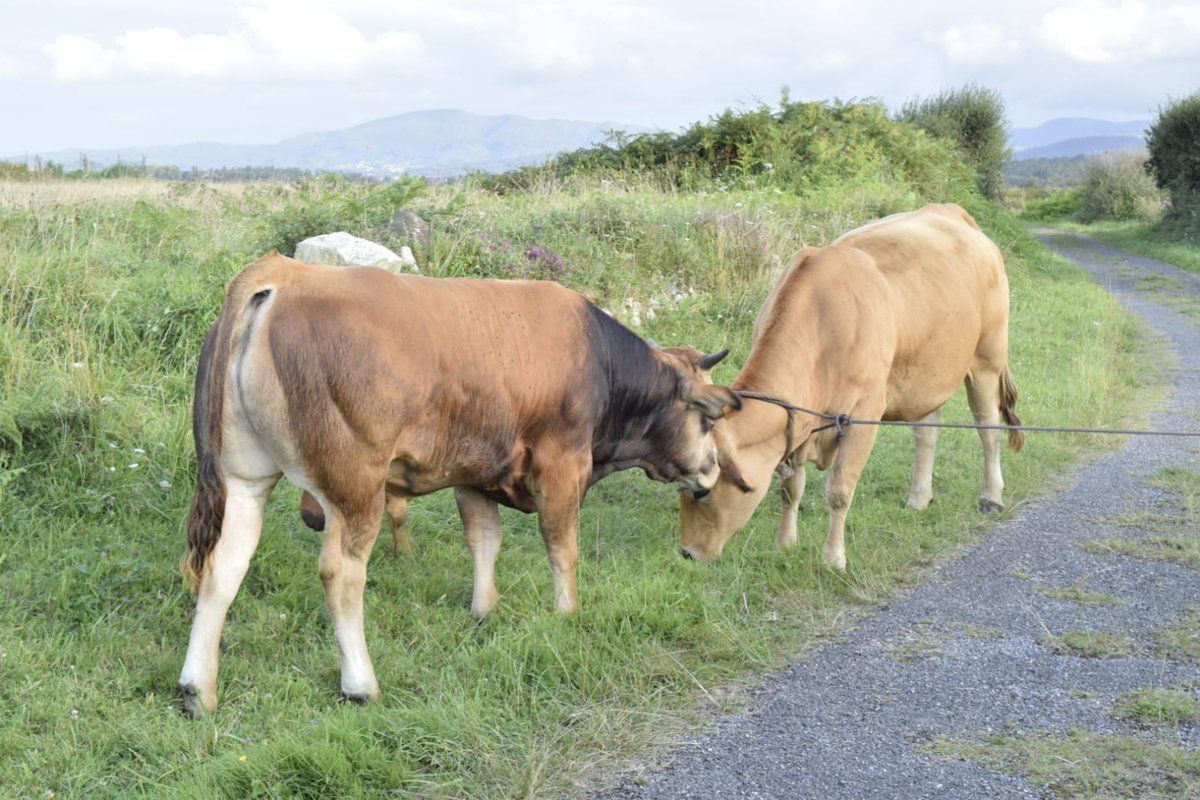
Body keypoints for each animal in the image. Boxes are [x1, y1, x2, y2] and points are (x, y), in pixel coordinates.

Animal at [177, 253, 739, 714]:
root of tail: (282, 273)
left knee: (223, 567)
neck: (599, 360)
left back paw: (196, 690)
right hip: (355, 487)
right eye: (708, 419)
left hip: (243, 477)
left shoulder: (475, 471)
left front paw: (485, 609)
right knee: (341, 574)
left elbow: (484, 539)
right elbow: (562, 545)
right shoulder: (562, 462)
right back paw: (360, 683)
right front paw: (567, 613)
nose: (712, 470)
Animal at [681, 206, 1027, 568]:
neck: (822, 323)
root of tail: (951, 211)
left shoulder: (864, 412)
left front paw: (833, 558)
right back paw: (918, 497)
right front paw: (785, 542)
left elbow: (839, 489)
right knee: (927, 431)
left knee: (988, 428)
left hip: (987, 357)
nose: (687, 552)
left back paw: (991, 496)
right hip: (927, 370)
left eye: (701, 490)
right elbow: (791, 485)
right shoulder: (801, 419)